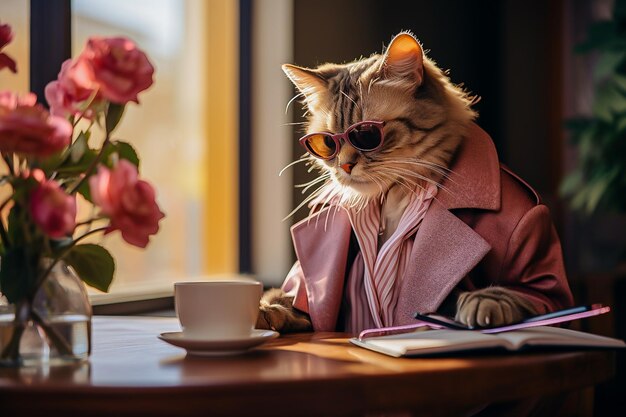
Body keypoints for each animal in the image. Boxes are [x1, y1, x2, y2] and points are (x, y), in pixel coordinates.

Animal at [256, 30, 572, 334]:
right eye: (327, 143)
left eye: (365, 134)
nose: (344, 165)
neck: (392, 199)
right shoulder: (302, 293)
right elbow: (286, 300)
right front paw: (268, 315)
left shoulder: (549, 295)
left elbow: (526, 299)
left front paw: (481, 304)